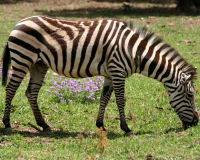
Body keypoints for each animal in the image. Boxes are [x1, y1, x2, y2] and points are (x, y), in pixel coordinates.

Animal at [1, 15, 198, 136]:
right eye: (190, 95)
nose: (196, 122)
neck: (134, 51)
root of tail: (19, 23)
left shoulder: (110, 74)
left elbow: (104, 98)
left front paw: (100, 125)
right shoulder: (118, 71)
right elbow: (120, 100)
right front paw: (126, 128)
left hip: (38, 64)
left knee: (31, 93)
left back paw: (44, 125)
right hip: (22, 59)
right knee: (10, 90)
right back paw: (8, 125)